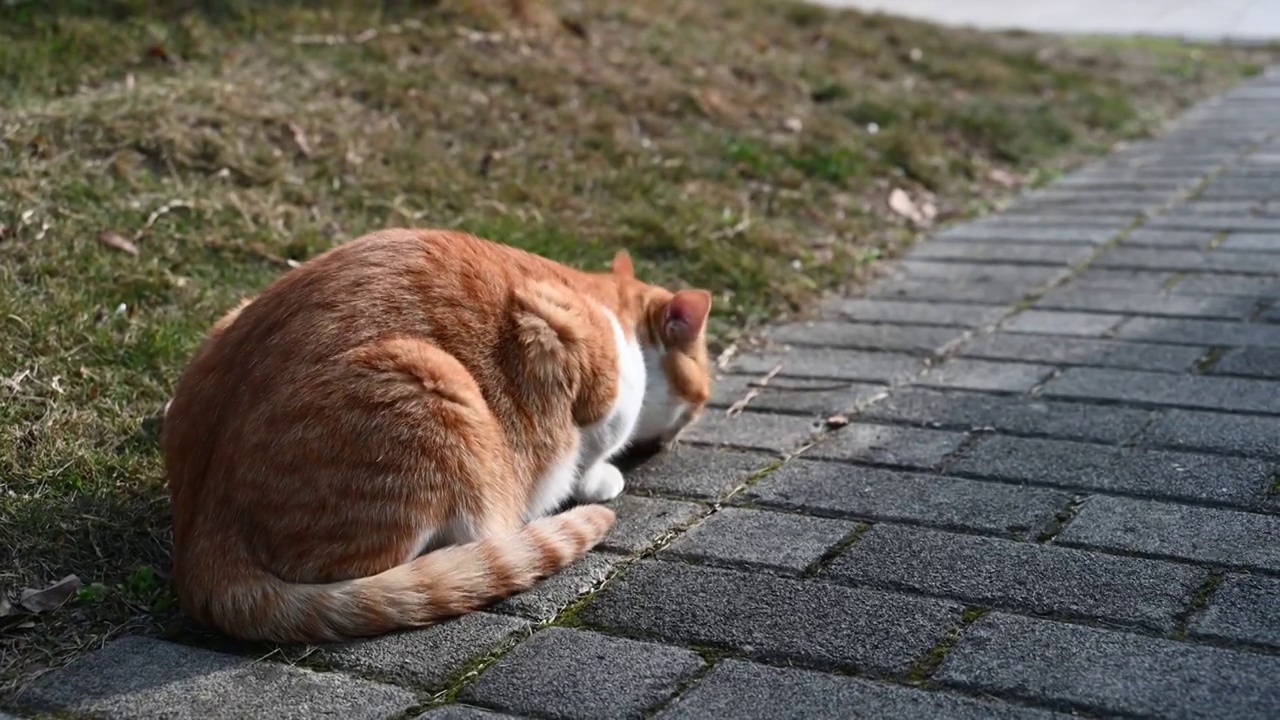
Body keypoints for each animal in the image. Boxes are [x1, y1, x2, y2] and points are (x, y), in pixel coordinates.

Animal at [160, 226, 711, 640]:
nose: (676, 437)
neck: (607, 303)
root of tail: (199, 537)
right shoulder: (565, 343)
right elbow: (593, 450)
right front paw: (603, 476)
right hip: (435, 389)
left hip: (229, 320)